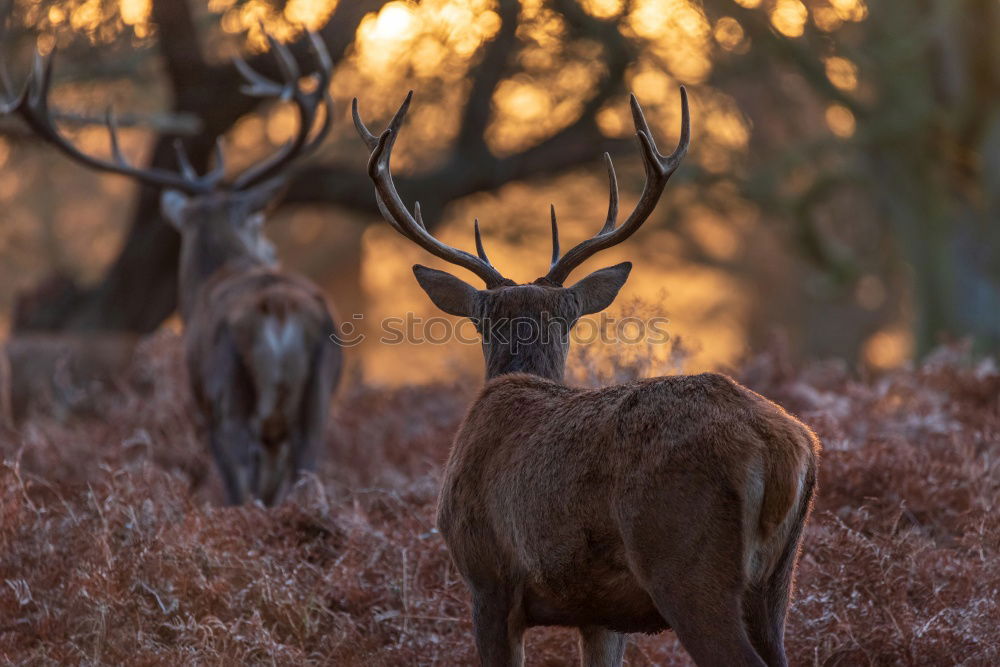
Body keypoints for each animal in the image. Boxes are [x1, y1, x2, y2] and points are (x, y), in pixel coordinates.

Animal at [1, 31, 342, 500]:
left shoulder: (202, 401)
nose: (272, 250)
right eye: (257, 223)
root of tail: (277, 309)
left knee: (242, 485)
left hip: (224, 397)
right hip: (313, 402)